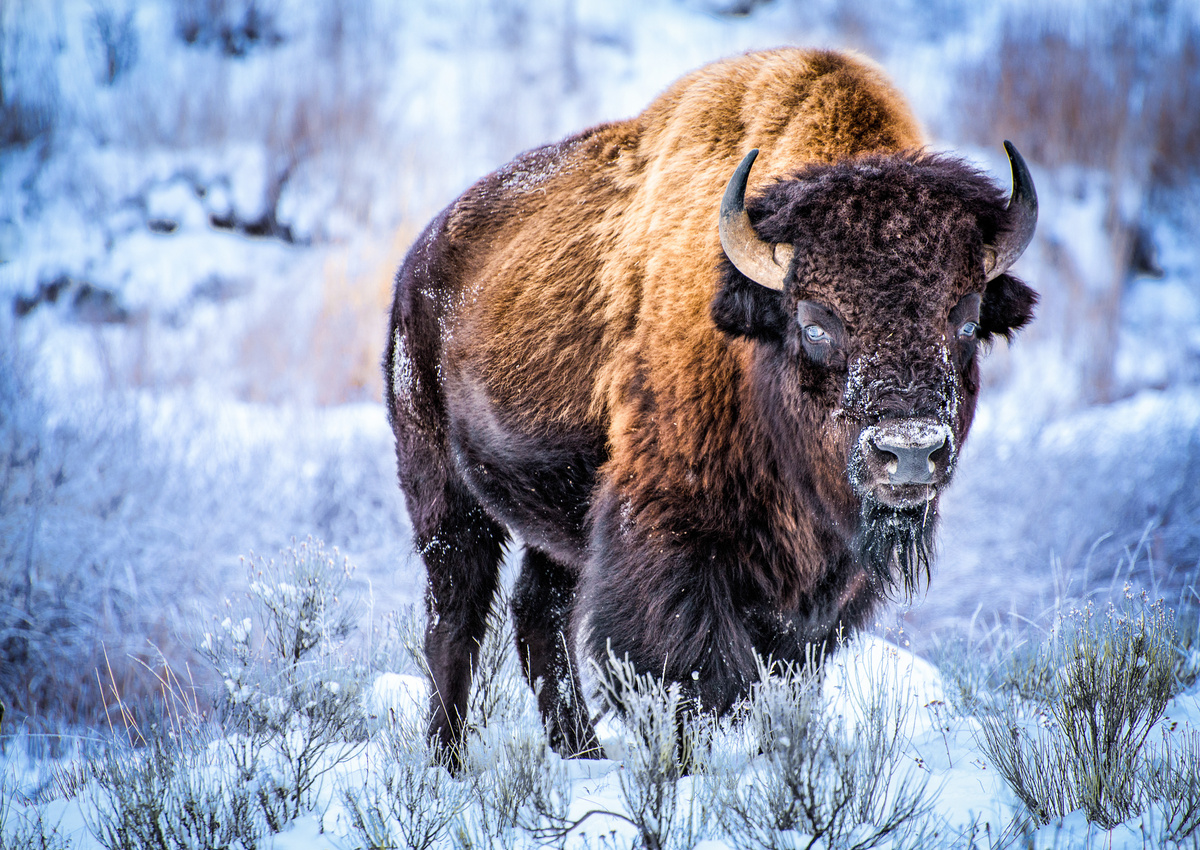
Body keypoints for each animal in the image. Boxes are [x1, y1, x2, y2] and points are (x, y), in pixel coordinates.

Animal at [386, 48, 1041, 763]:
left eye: (966, 319)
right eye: (815, 323)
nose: (911, 453)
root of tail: (418, 262)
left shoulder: (825, 584)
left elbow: (779, 668)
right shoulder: (672, 538)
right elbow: (697, 672)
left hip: (557, 521)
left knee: (539, 615)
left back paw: (582, 751)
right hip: (443, 494)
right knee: (455, 620)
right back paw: (447, 758)